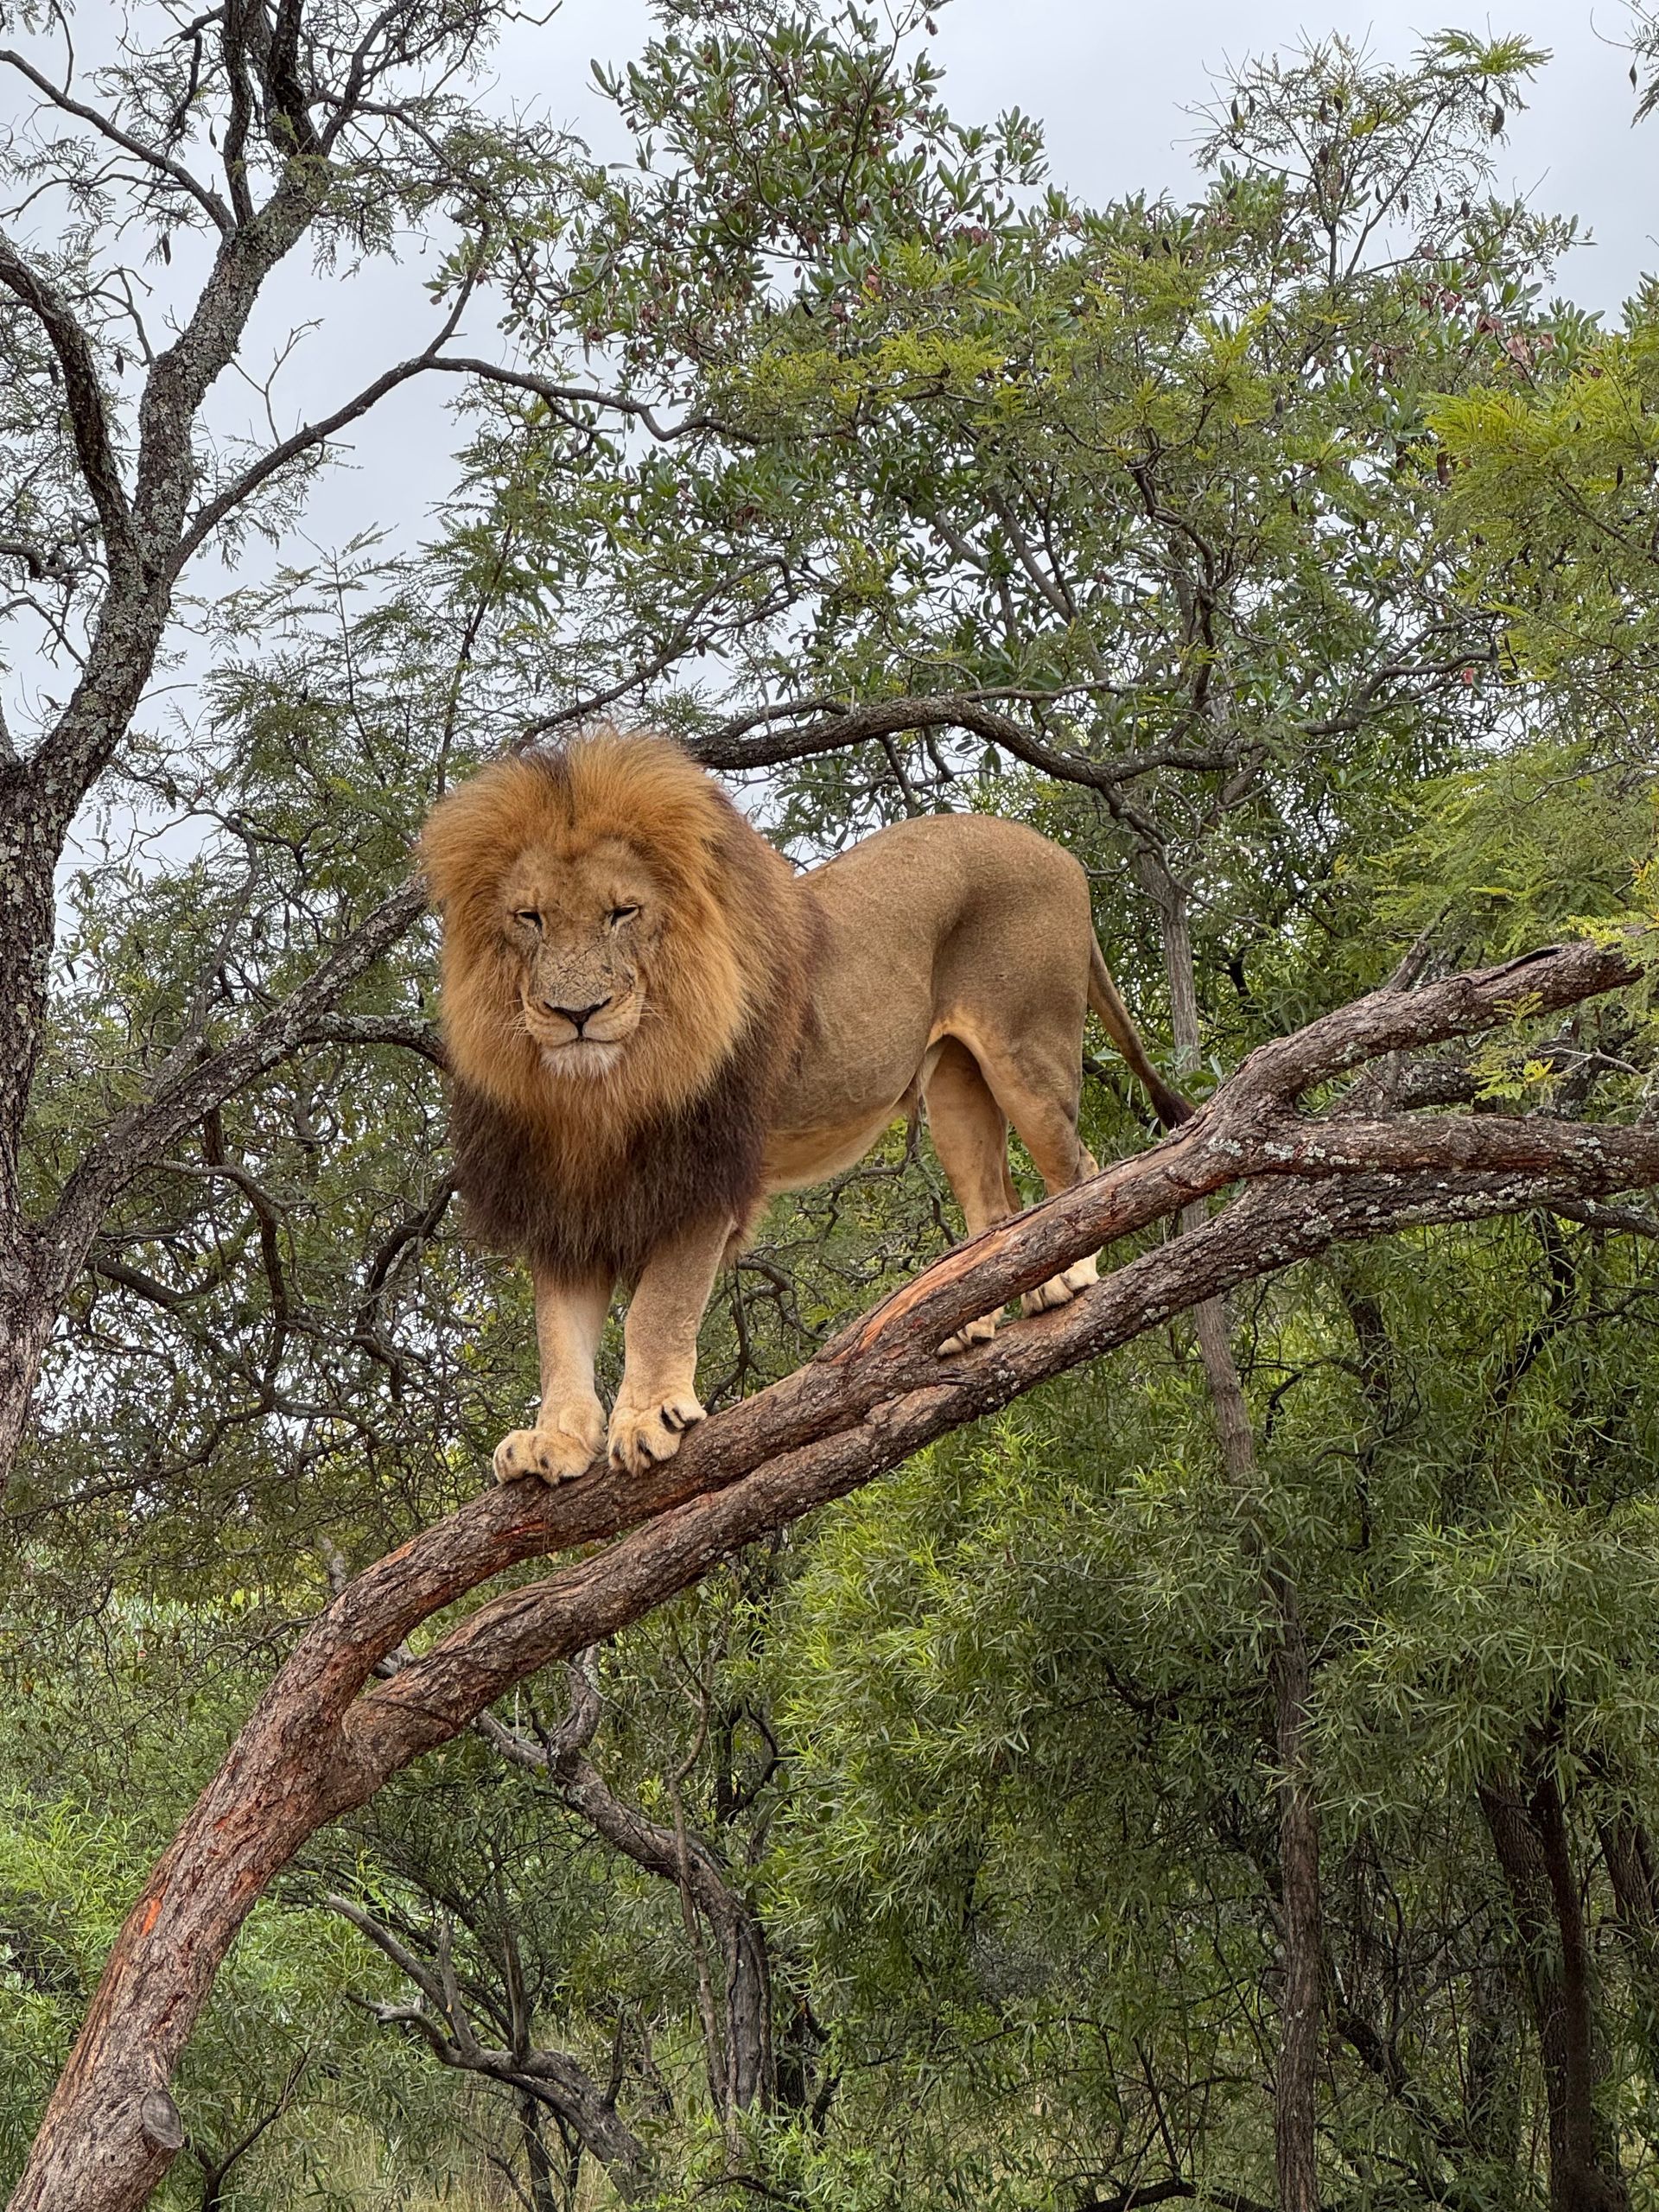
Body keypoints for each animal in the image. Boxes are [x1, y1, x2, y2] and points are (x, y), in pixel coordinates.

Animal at [419, 731, 1189, 1484]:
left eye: (622, 912)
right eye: (530, 918)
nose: (575, 1014)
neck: (597, 1091)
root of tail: (1057, 852)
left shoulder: (704, 1177)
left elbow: (657, 1310)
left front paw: (647, 1419)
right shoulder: (563, 1200)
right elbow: (559, 1335)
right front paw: (555, 1440)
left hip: (1028, 1047)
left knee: (1077, 1166)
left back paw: (1067, 1276)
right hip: (956, 1086)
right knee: (993, 1208)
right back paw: (968, 1320)